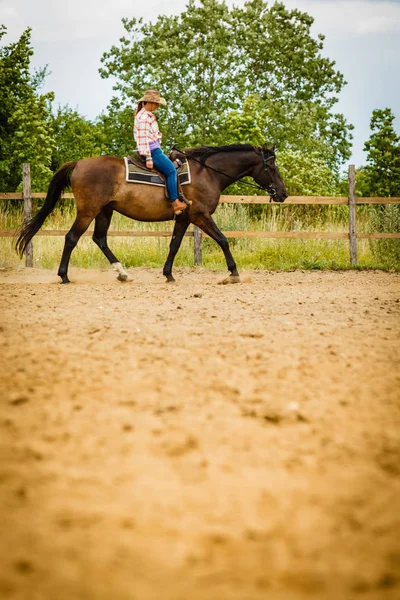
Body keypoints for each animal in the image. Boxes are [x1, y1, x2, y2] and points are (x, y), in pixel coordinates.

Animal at [17, 143, 288, 284]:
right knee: (72, 238)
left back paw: (122, 273)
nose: (283, 194)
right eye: (273, 167)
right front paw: (233, 272)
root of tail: (79, 164)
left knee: (100, 239)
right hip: (88, 211)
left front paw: (168, 274)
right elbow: (223, 239)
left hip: (105, 211)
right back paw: (64, 276)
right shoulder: (200, 215)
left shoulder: (184, 217)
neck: (208, 173)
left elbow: (175, 245)